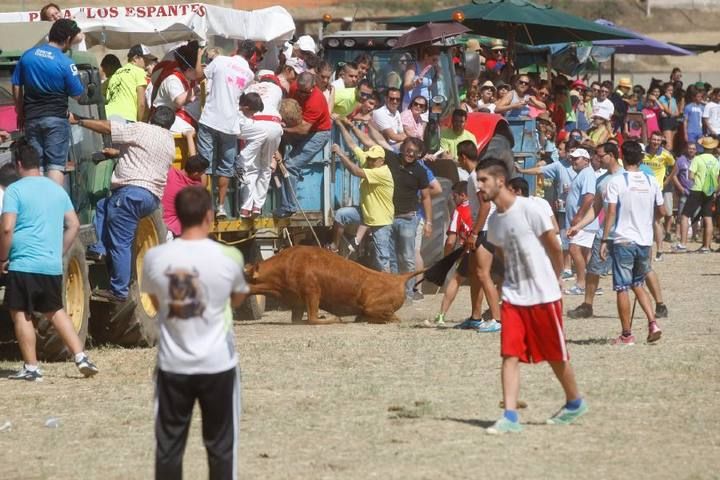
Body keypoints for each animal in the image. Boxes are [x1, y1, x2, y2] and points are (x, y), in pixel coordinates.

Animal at [246, 248, 424, 322]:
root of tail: (399, 279)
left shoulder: (312, 294)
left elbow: (313, 319)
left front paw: (332, 318)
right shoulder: (298, 304)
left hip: (373, 307)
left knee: (393, 318)